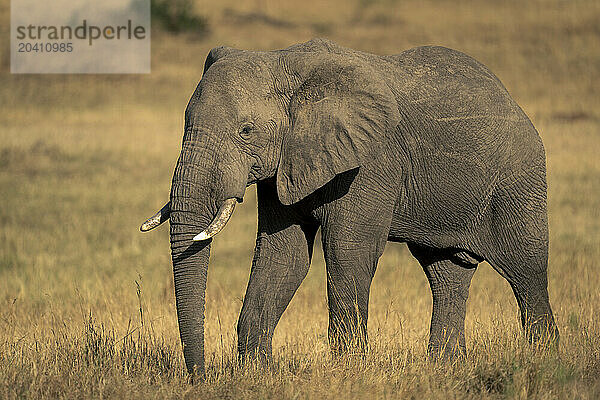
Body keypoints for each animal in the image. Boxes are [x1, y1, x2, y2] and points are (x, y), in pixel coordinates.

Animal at [141, 38, 556, 378]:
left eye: (246, 131)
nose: (199, 376)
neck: (283, 61)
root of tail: (514, 102)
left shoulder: (370, 160)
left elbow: (348, 251)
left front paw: (349, 371)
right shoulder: (286, 163)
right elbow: (283, 256)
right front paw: (258, 373)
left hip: (519, 182)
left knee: (526, 271)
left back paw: (543, 359)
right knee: (447, 274)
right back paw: (445, 367)